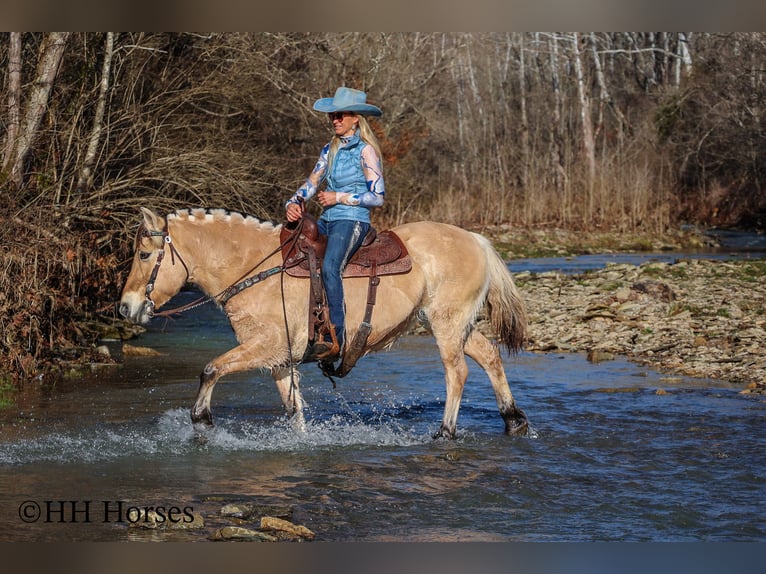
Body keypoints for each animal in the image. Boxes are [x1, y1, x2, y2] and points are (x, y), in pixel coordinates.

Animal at [118, 207, 529, 439]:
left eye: (144, 255)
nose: (125, 308)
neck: (255, 269)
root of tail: (475, 239)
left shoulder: (265, 347)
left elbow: (210, 368)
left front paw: (202, 420)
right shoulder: (279, 360)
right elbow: (293, 409)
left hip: (447, 322)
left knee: (457, 371)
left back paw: (445, 432)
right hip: (453, 324)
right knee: (489, 355)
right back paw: (513, 420)